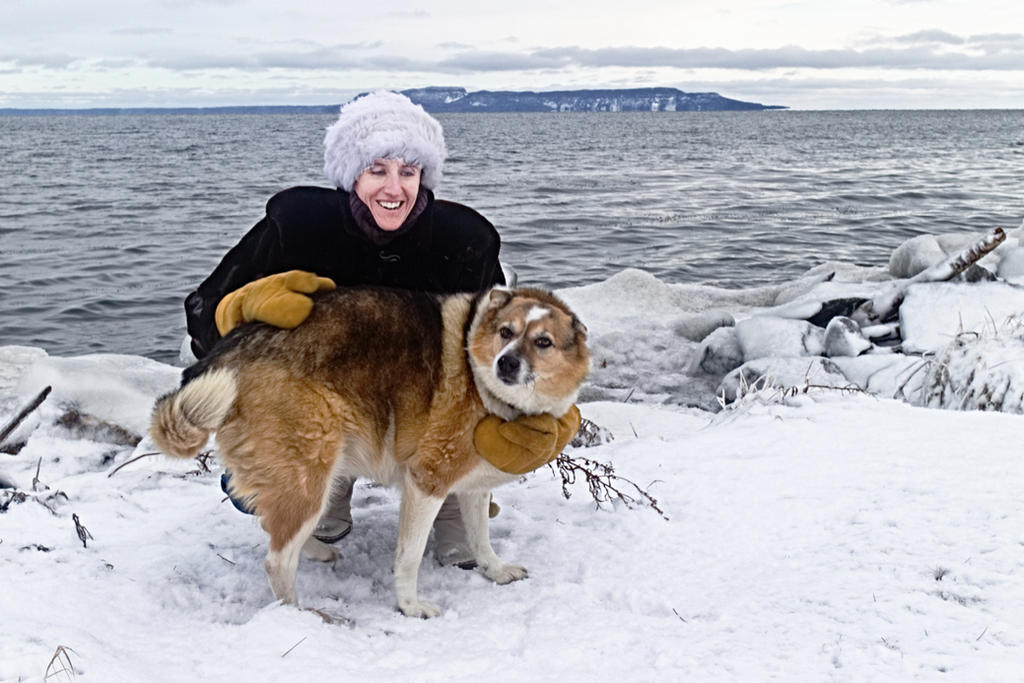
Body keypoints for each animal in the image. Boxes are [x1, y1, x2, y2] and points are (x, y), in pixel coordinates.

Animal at [148, 286, 589, 618]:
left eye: (543, 342)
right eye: (505, 332)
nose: (506, 363)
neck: (480, 383)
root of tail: (221, 358)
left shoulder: (473, 486)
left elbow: (481, 538)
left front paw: (495, 571)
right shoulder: (425, 482)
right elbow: (409, 556)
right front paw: (410, 606)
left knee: (272, 526)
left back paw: (316, 552)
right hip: (312, 467)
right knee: (276, 560)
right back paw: (299, 614)